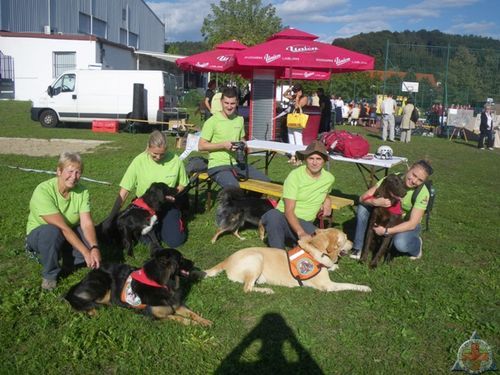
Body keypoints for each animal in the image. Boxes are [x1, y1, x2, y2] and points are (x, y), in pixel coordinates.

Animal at [64, 250, 211, 326]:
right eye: (181, 259)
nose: (194, 262)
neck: (160, 283)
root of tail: (80, 281)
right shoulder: (155, 315)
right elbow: (180, 318)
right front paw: (194, 324)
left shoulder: (177, 304)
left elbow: (192, 313)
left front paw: (205, 321)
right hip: (101, 284)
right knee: (77, 302)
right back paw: (92, 311)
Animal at [203, 229, 372, 294]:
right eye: (346, 238)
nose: (354, 245)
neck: (316, 248)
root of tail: (226, 260)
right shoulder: (328, 285)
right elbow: (349, 284)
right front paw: (365, 287)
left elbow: (330, 265)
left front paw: (334, 266)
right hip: (257, 258)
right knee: (247, 288)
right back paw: (267, 290)